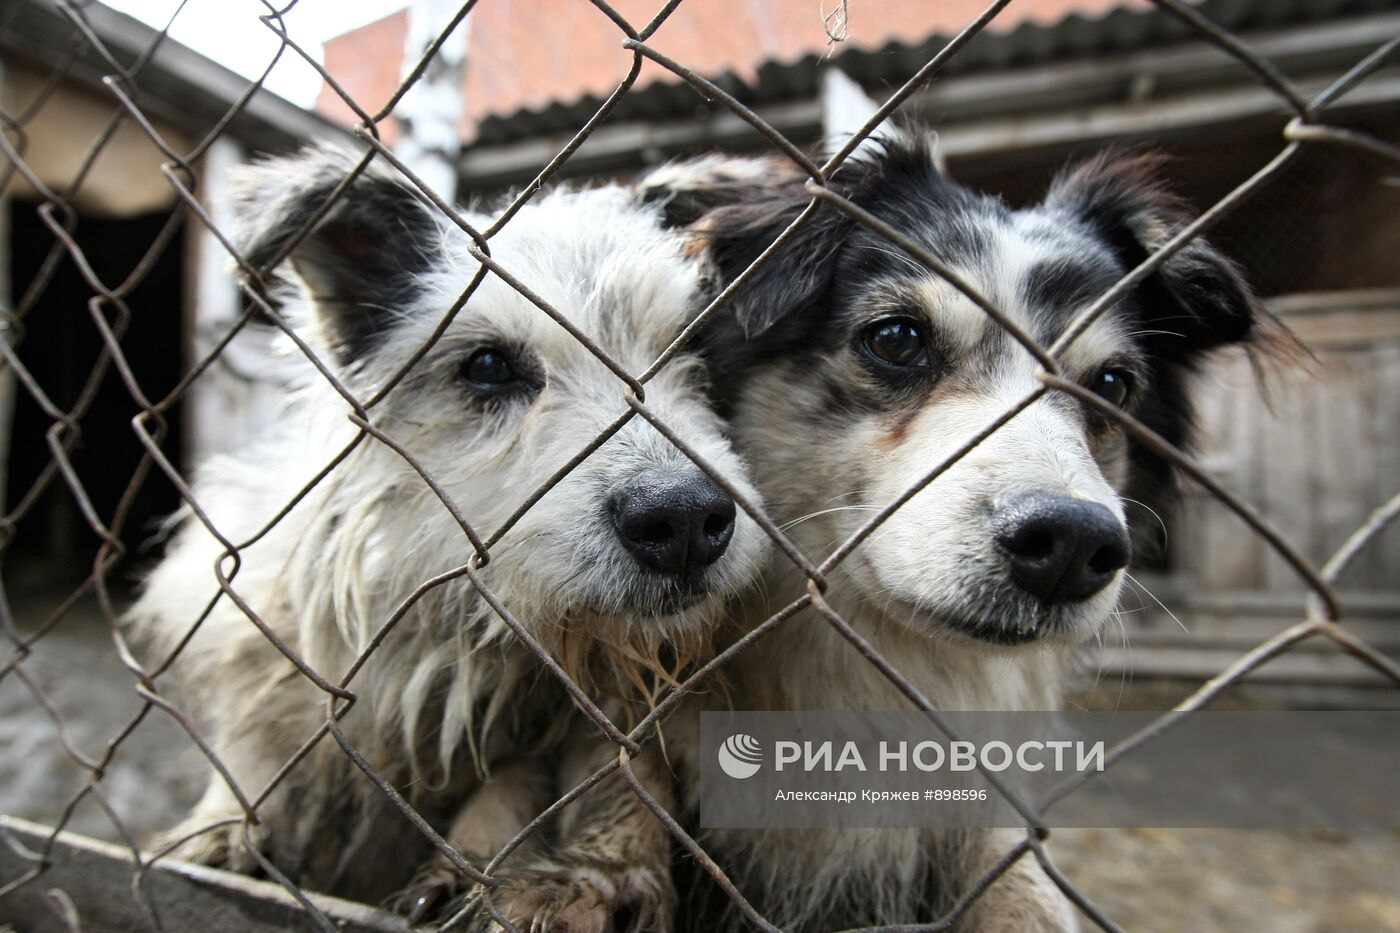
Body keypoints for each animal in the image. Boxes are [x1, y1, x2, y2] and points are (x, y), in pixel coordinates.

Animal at [124, 149, 767, 918]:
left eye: (697, 347)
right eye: (487, 366)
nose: (684, 521)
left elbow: (578, 777)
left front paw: (563, 868)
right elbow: (252, 758)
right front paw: (223, 827)